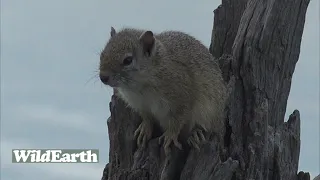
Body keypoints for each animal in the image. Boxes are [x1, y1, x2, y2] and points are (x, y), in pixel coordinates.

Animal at [100, 26, 228, 155]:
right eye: (102, 54)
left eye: (128, 60)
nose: (103, 77)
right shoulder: (141, 105)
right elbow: (147, 117)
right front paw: (145, 128)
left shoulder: (182, 95)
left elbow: (178, 119)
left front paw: (170, 136)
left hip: (210, 115)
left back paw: (196, 134)